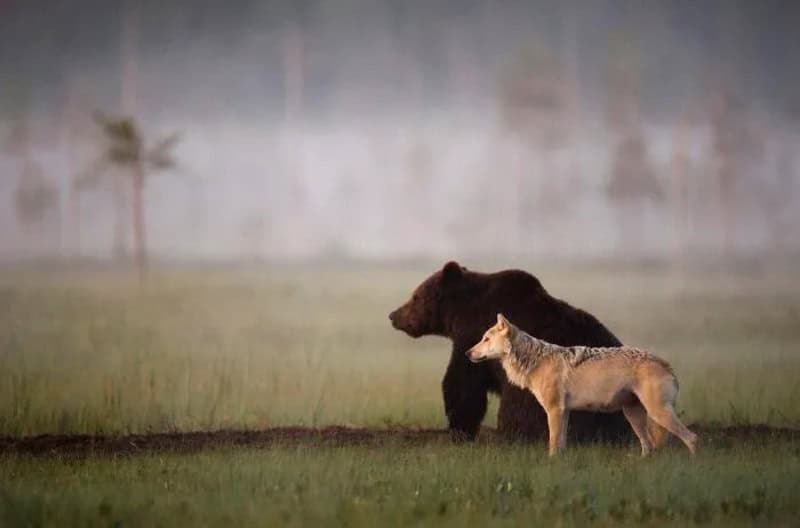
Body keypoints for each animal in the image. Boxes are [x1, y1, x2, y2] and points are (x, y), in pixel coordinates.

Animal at [388, 260, 632, 443]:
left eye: (415, 296)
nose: (393, 315)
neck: (461, 312)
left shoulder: (473, 337)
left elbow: (463, 385)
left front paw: (459, 429)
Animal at [467, 314, 698, 457]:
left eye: (486, 339)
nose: (467, 353)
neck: (535, 361)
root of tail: (666, 364)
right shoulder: (564, 412)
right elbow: (561, 444)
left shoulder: (554, 410)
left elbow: (553, 444)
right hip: (634, 415)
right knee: (649, 447)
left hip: (657, 413)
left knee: (692, 438)